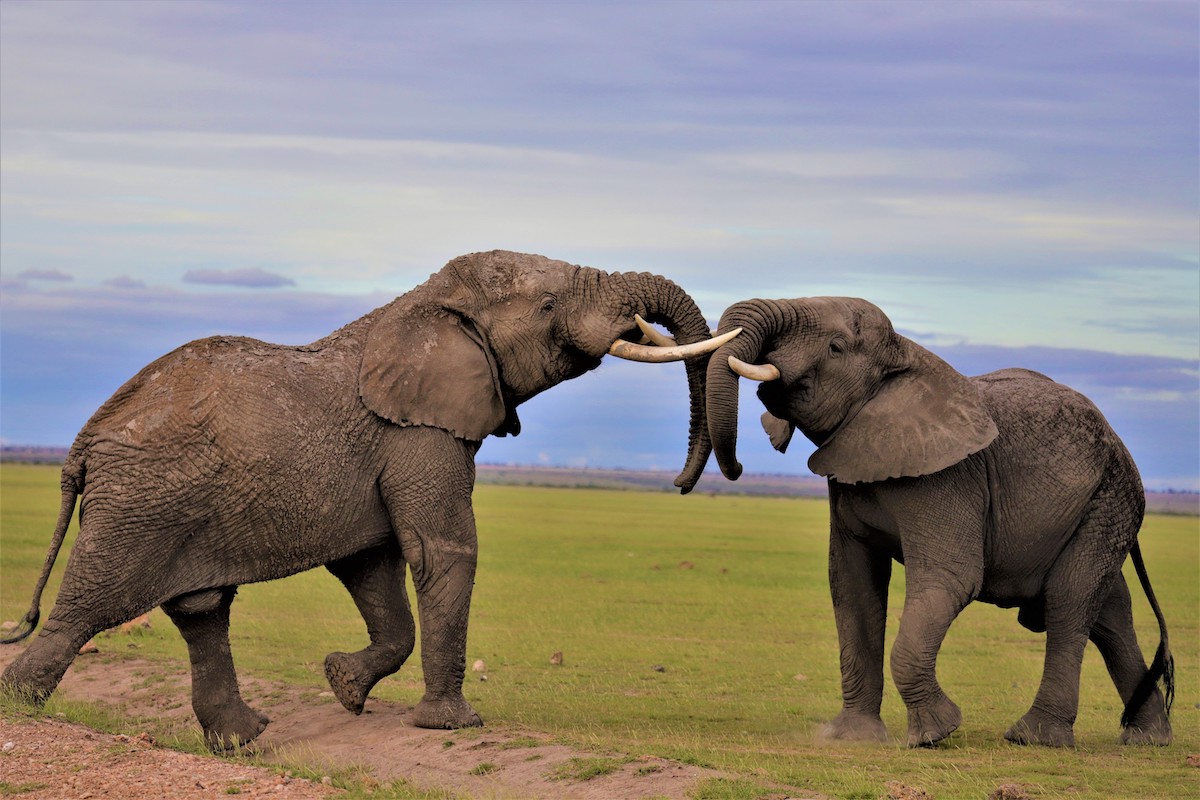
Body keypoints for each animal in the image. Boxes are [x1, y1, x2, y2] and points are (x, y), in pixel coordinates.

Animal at [2, 248, 729, 753]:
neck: (426, 302)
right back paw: (21, 706)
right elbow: (441, 551)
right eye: (550, 306)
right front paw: (452, 727)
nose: (682, 483)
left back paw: (245, 740)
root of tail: (82, 445)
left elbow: (371, 566)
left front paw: (344, 686)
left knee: (201, 612)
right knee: (87, 612)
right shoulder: (419, 433)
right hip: (141, 506)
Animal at [700, 296, 1171, 753]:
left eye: (836, 347)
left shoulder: (948, 478)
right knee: (1110, 611)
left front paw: (933, 735)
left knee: (1070, 598)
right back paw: (1148, 738)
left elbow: (950, 578)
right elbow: (851, 584)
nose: (737, 469)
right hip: (1103, 504)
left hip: (1111, 498)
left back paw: (1034, 738)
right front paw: (851, 738)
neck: (906, 355)